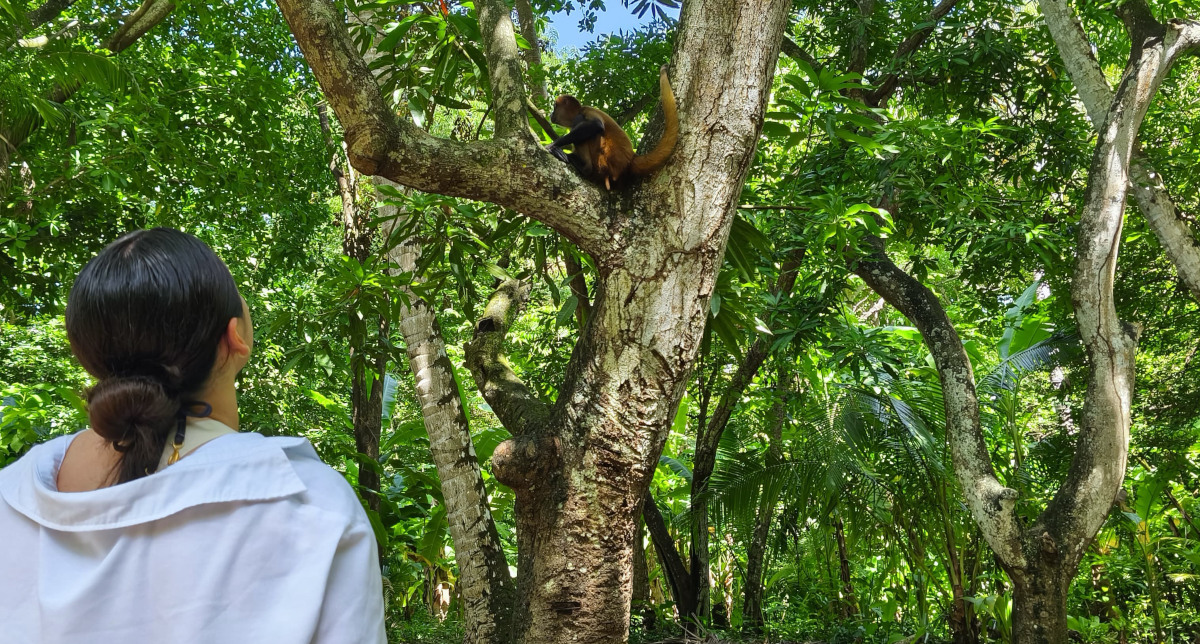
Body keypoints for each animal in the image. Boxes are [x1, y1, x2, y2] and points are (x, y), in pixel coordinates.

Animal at [547, 66, 678, 189]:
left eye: (555, 107)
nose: (551, 114)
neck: (580, 109)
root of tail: (630, 158)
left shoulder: (586, 111)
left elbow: (596, 125)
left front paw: (551, 146)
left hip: (605, 160)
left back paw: (585, 168)